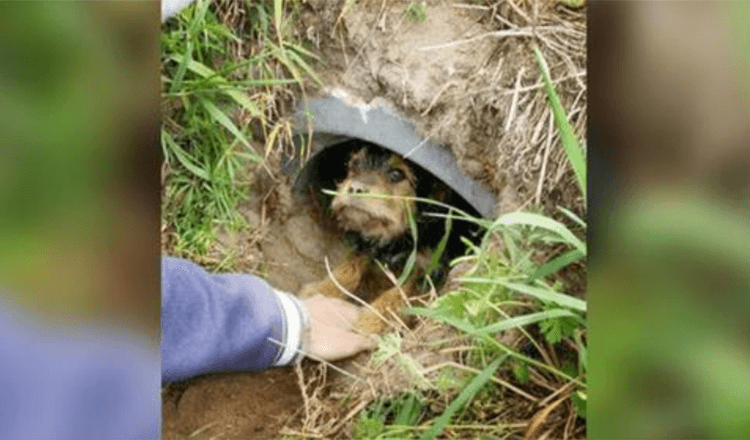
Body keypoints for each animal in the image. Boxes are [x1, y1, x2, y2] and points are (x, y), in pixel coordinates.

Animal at [302, 141, 472, 334]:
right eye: (355, 164)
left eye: (397, 174)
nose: (355, 188)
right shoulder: (370, 248)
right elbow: (350, 266)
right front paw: (322, 289)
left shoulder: (431, 270)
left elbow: (400, 294)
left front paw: (371, 323)